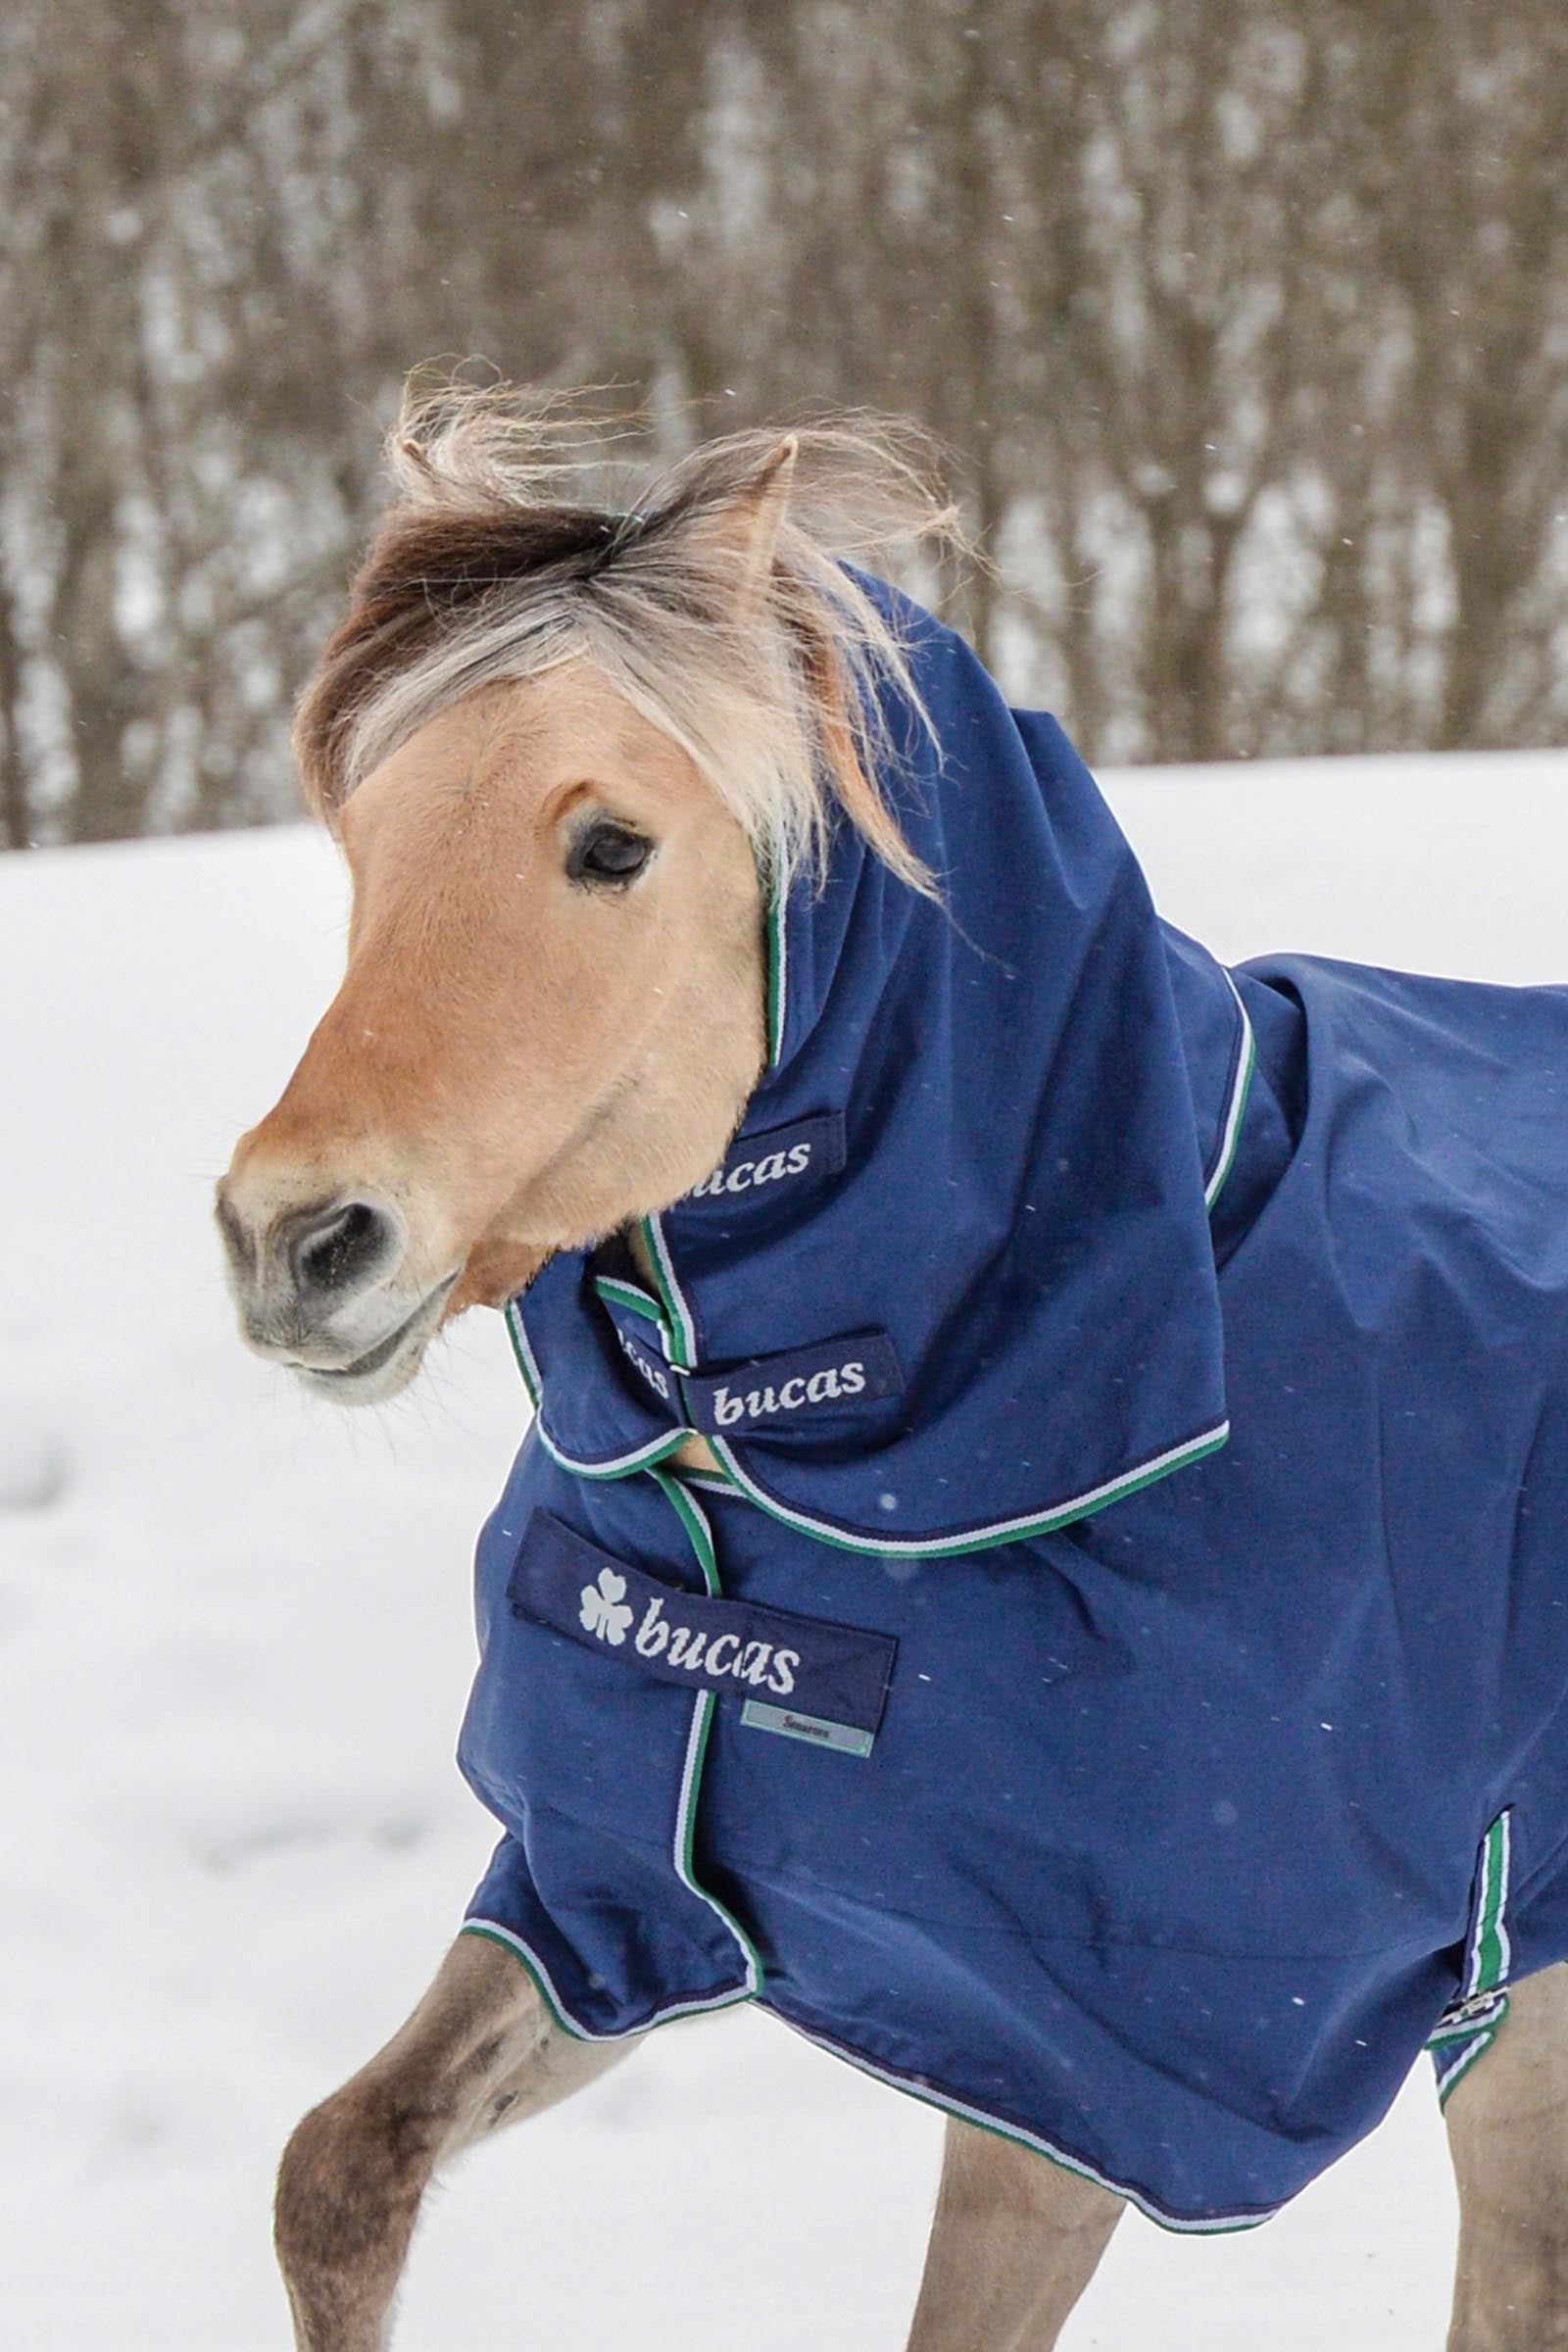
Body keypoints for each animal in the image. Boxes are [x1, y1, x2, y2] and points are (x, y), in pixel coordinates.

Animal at [216, 385, 1568, 2351]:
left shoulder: (1091, 2069)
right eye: (364, 837)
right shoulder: (627, 1885)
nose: (294, 1238)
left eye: (609, 845)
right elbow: (343, 2167)